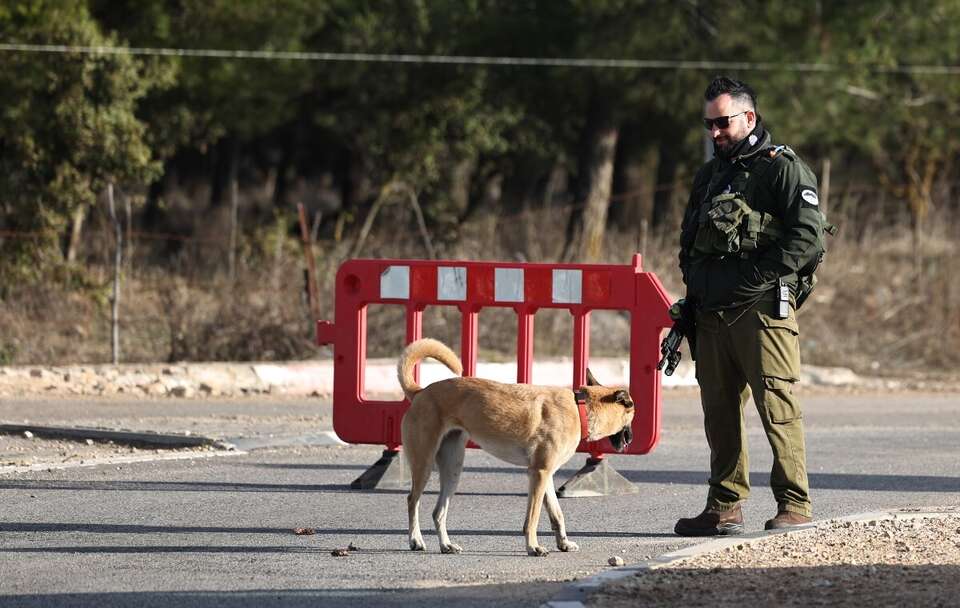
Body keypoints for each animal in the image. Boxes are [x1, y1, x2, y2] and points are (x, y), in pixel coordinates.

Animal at [400, 338, 636, 556]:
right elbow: (532, 518)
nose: (631, 438)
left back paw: (446, 545)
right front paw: (533, 547)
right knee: (412, 500)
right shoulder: (539, 474)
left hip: (453, 469)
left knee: (438, 512)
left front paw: (563, 543)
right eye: (632, 413)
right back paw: (415, 540)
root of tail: (421, 392)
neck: (580, 409)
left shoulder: (546, 475)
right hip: (424, 463)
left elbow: (557, 514)